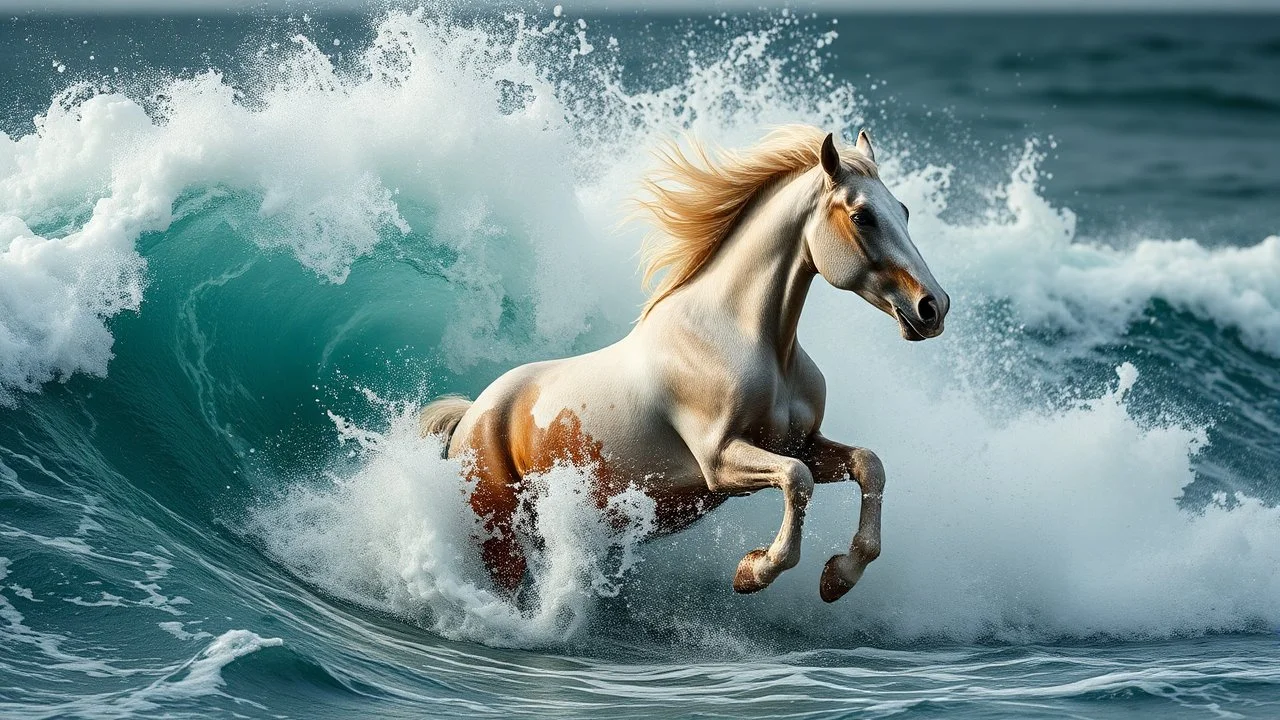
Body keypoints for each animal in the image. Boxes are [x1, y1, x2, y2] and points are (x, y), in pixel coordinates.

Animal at [419, 125, 949, 602]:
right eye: (862, 216)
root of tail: (470, 417)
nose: (933, 308)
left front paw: (838, 577)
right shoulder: (720, 460)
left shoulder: (804, 443)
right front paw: (753, 571)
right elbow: (796, 479)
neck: (743, 339)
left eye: (903, 211)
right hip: (499, 536)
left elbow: (868, 464)